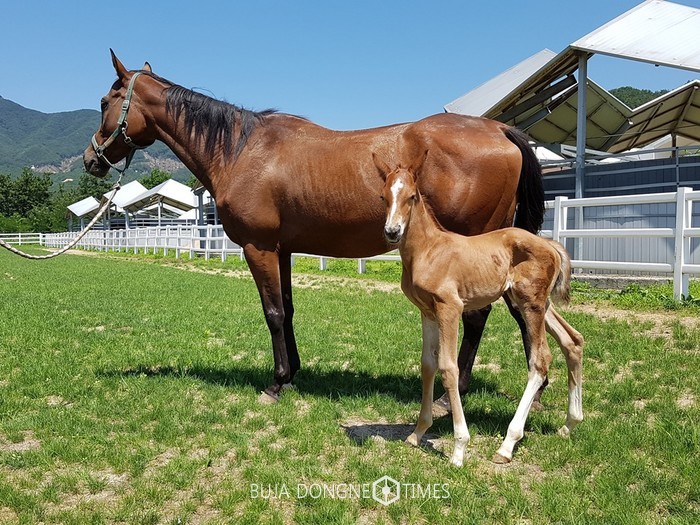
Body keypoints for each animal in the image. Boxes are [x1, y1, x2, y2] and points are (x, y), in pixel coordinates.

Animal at [83, 50, 546, 404]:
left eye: (106, 101)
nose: (91, 159)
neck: (241, 151)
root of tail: (499, 129)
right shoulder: (283, 249)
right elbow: (287, 309)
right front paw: (294, 373)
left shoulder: (258, 247)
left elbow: (271, 312)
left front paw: (275, 383)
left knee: (478, 315)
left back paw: (458, 391)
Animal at [373, 153, 583, 465]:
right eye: (384, 196)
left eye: (412, 196)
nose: (392, 231)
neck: (429, 250)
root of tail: (549, 244)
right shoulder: (427, 311)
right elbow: (427, 364)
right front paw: (417, 433)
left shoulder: (450, 307)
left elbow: (448, 368)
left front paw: (459, 447)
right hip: (535, 302)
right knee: (573, 340)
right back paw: (570, 424)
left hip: (530, 303)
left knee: (540, 360)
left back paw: (508, 444)